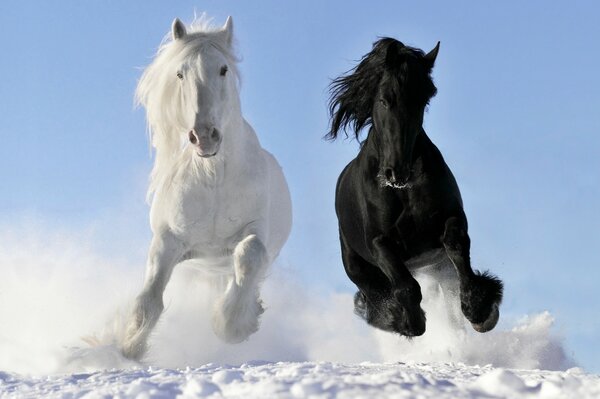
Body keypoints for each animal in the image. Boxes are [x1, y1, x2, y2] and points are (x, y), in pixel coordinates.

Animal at [120, 15, 292, 360]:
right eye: (180, 73)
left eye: (223, 69)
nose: (204, 136)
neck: (213, 178)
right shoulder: (168, 241)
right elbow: (149, 299)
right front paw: (128, 347)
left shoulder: (256, 232)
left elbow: (249, 255)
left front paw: (231, 326)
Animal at [326, 38, 504, 338]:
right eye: (384, 99)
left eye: (423, 100)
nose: (396, 171)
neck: (402, 191)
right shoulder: (379, 242)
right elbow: (406, 286)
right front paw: (408, 321)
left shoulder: (451, 219)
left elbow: (457, 247)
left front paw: (480, 310)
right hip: (358, 267)